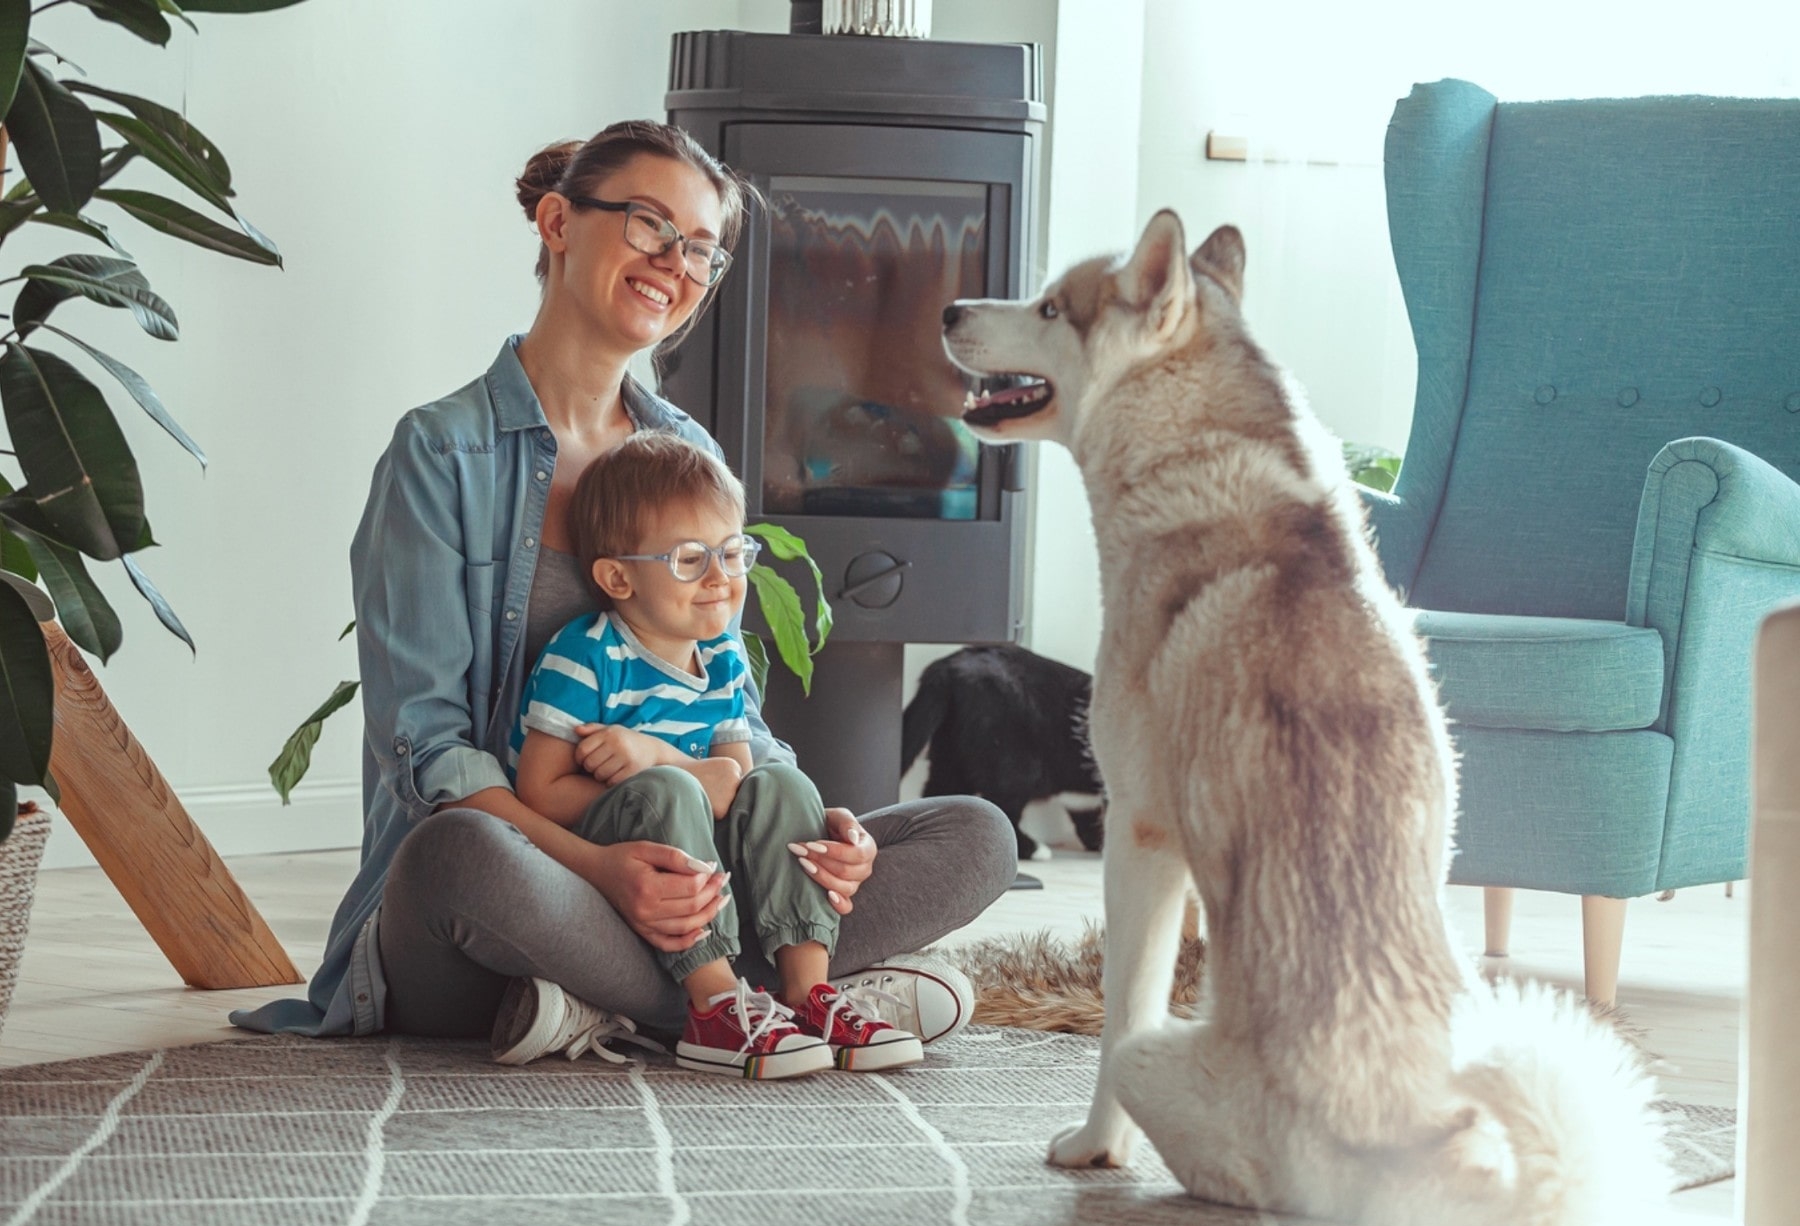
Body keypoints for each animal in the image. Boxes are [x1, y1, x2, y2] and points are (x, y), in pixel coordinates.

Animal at [900, 640, 1108, 860]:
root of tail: (950, 665)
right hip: (1014, 758)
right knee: (1004, 805)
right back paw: (1032, 849)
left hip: (951, 752)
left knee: (941, 791)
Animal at [943, 215, 1670, 1216]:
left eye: (1051, 307)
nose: (949, 307)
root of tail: (1437, 1148)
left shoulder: (1140, 836)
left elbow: (1120, 1010)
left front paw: (1095, 1149)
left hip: (1160, 1055)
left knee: (1142, 1065)